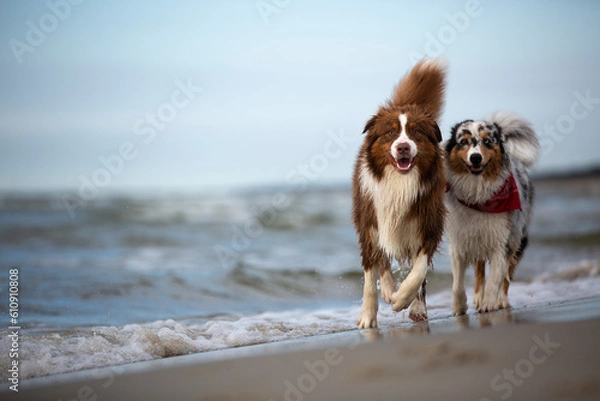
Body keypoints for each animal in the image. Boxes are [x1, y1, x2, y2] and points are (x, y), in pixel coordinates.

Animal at [352, 59, 446, 328]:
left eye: (416, 132)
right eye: (391, 132)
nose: (403, 147)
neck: (399, 183)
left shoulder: (429, 223)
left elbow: (419, 271)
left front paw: (404, 300)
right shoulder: (370, 224)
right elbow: (370, 274)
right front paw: (368, 315)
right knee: (381, 259)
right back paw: (387, 289)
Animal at [446, 111, 540, 312]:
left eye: (487, 141)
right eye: (464, 142)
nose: (475, 157)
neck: (478, 196)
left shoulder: (502, 243)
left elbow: (496, 279)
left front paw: (489, 304)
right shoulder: (460, 241)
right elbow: (457, 283)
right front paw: (460, 306)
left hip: (518, 240)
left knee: (506, 277)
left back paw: (501, 301)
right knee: (480, 271)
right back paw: (477, 298)